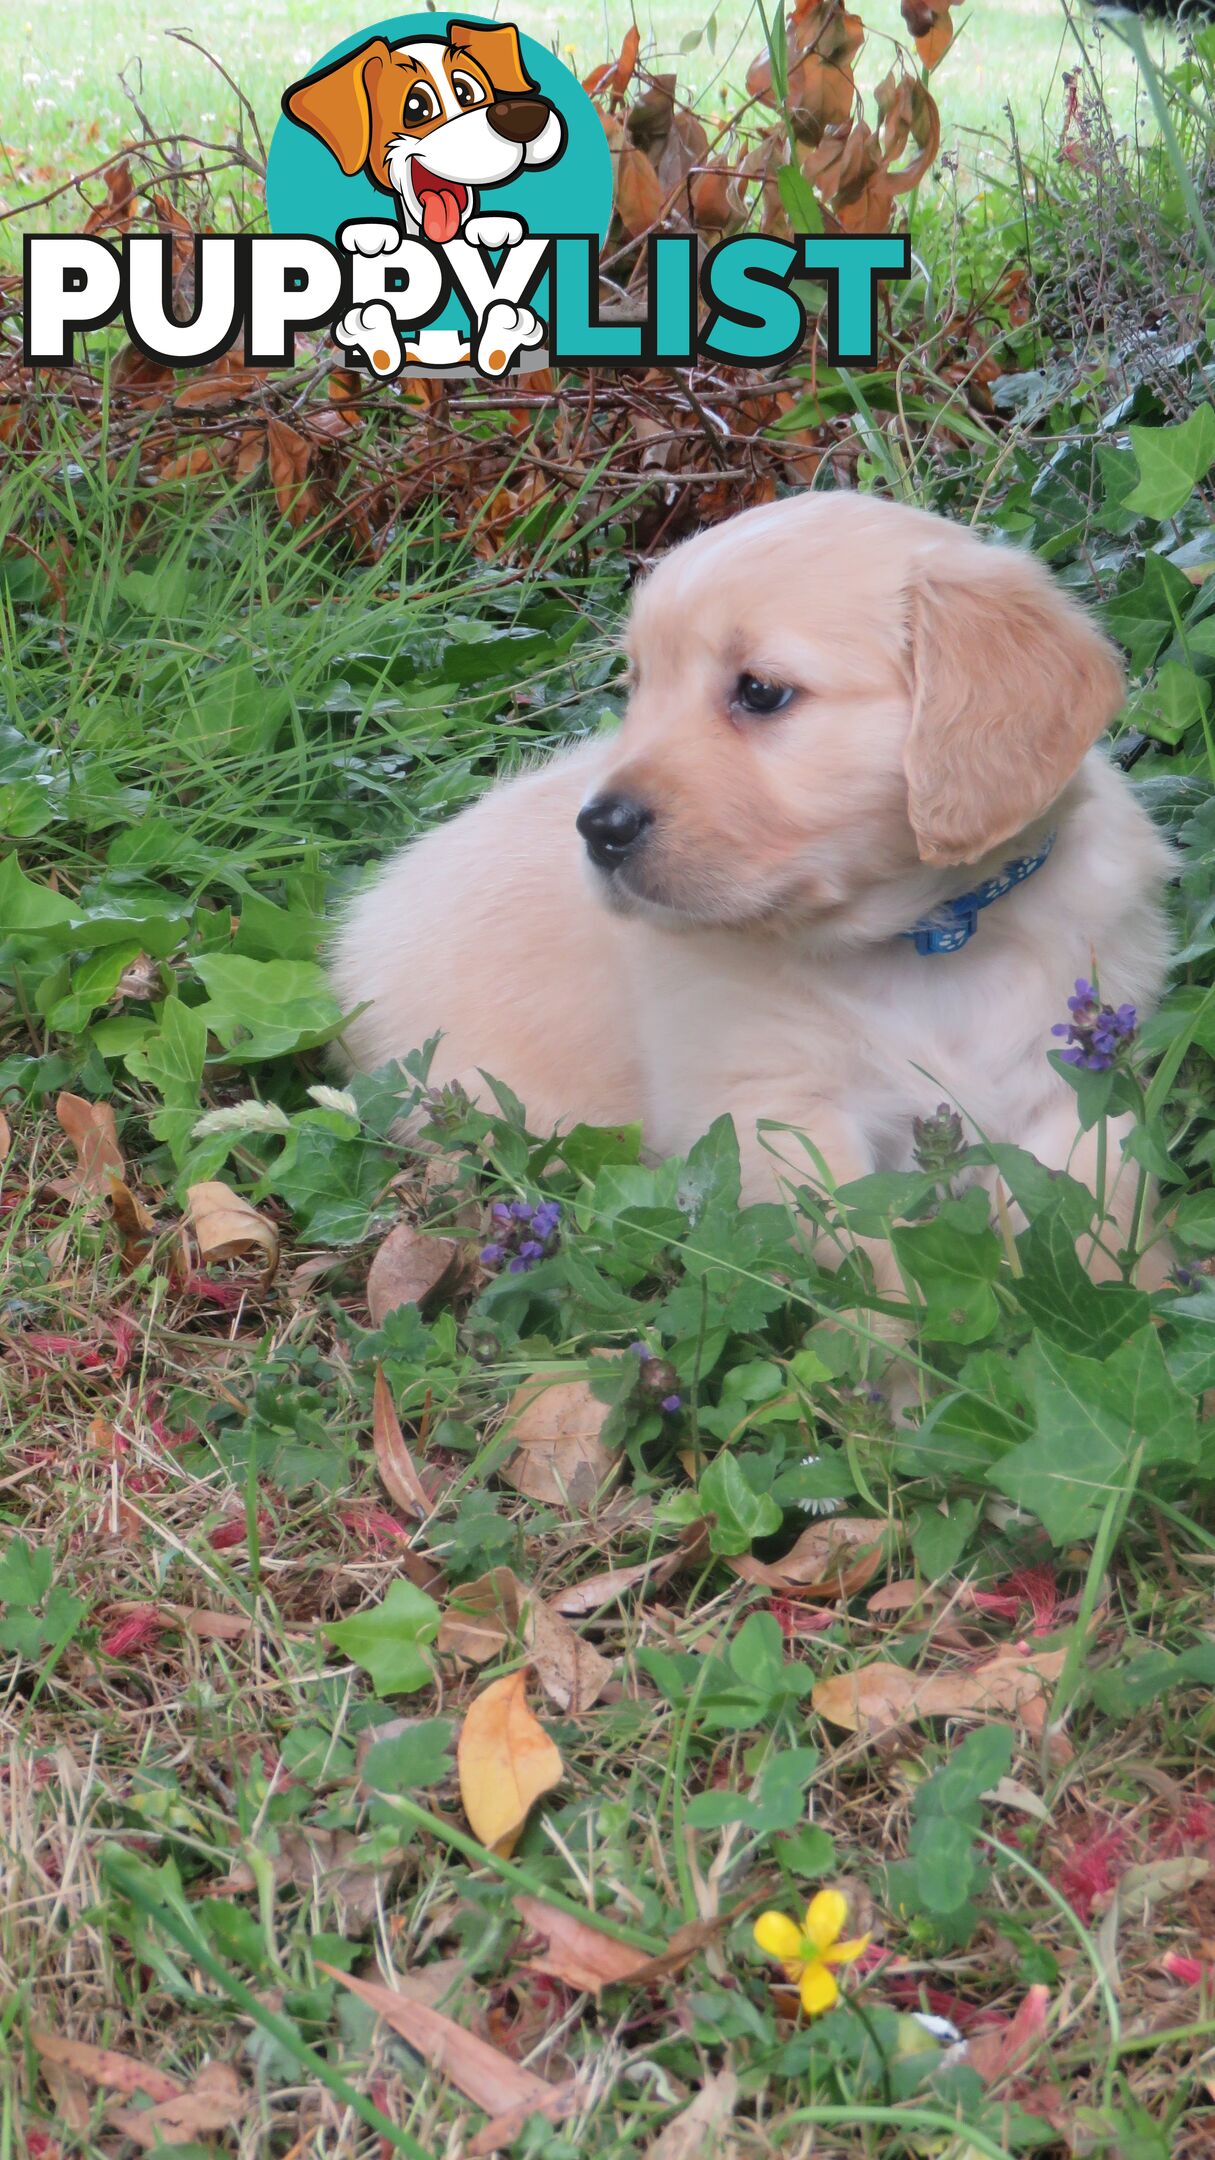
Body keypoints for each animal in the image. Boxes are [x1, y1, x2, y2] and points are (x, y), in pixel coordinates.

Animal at [328, 494, 1167, 1261]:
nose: (597, 827)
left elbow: (1098, 1216)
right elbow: (872, 1261)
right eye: (637, 686)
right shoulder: (776, 1113)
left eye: (760, 692)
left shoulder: (1074, 1089)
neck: (929, 938)